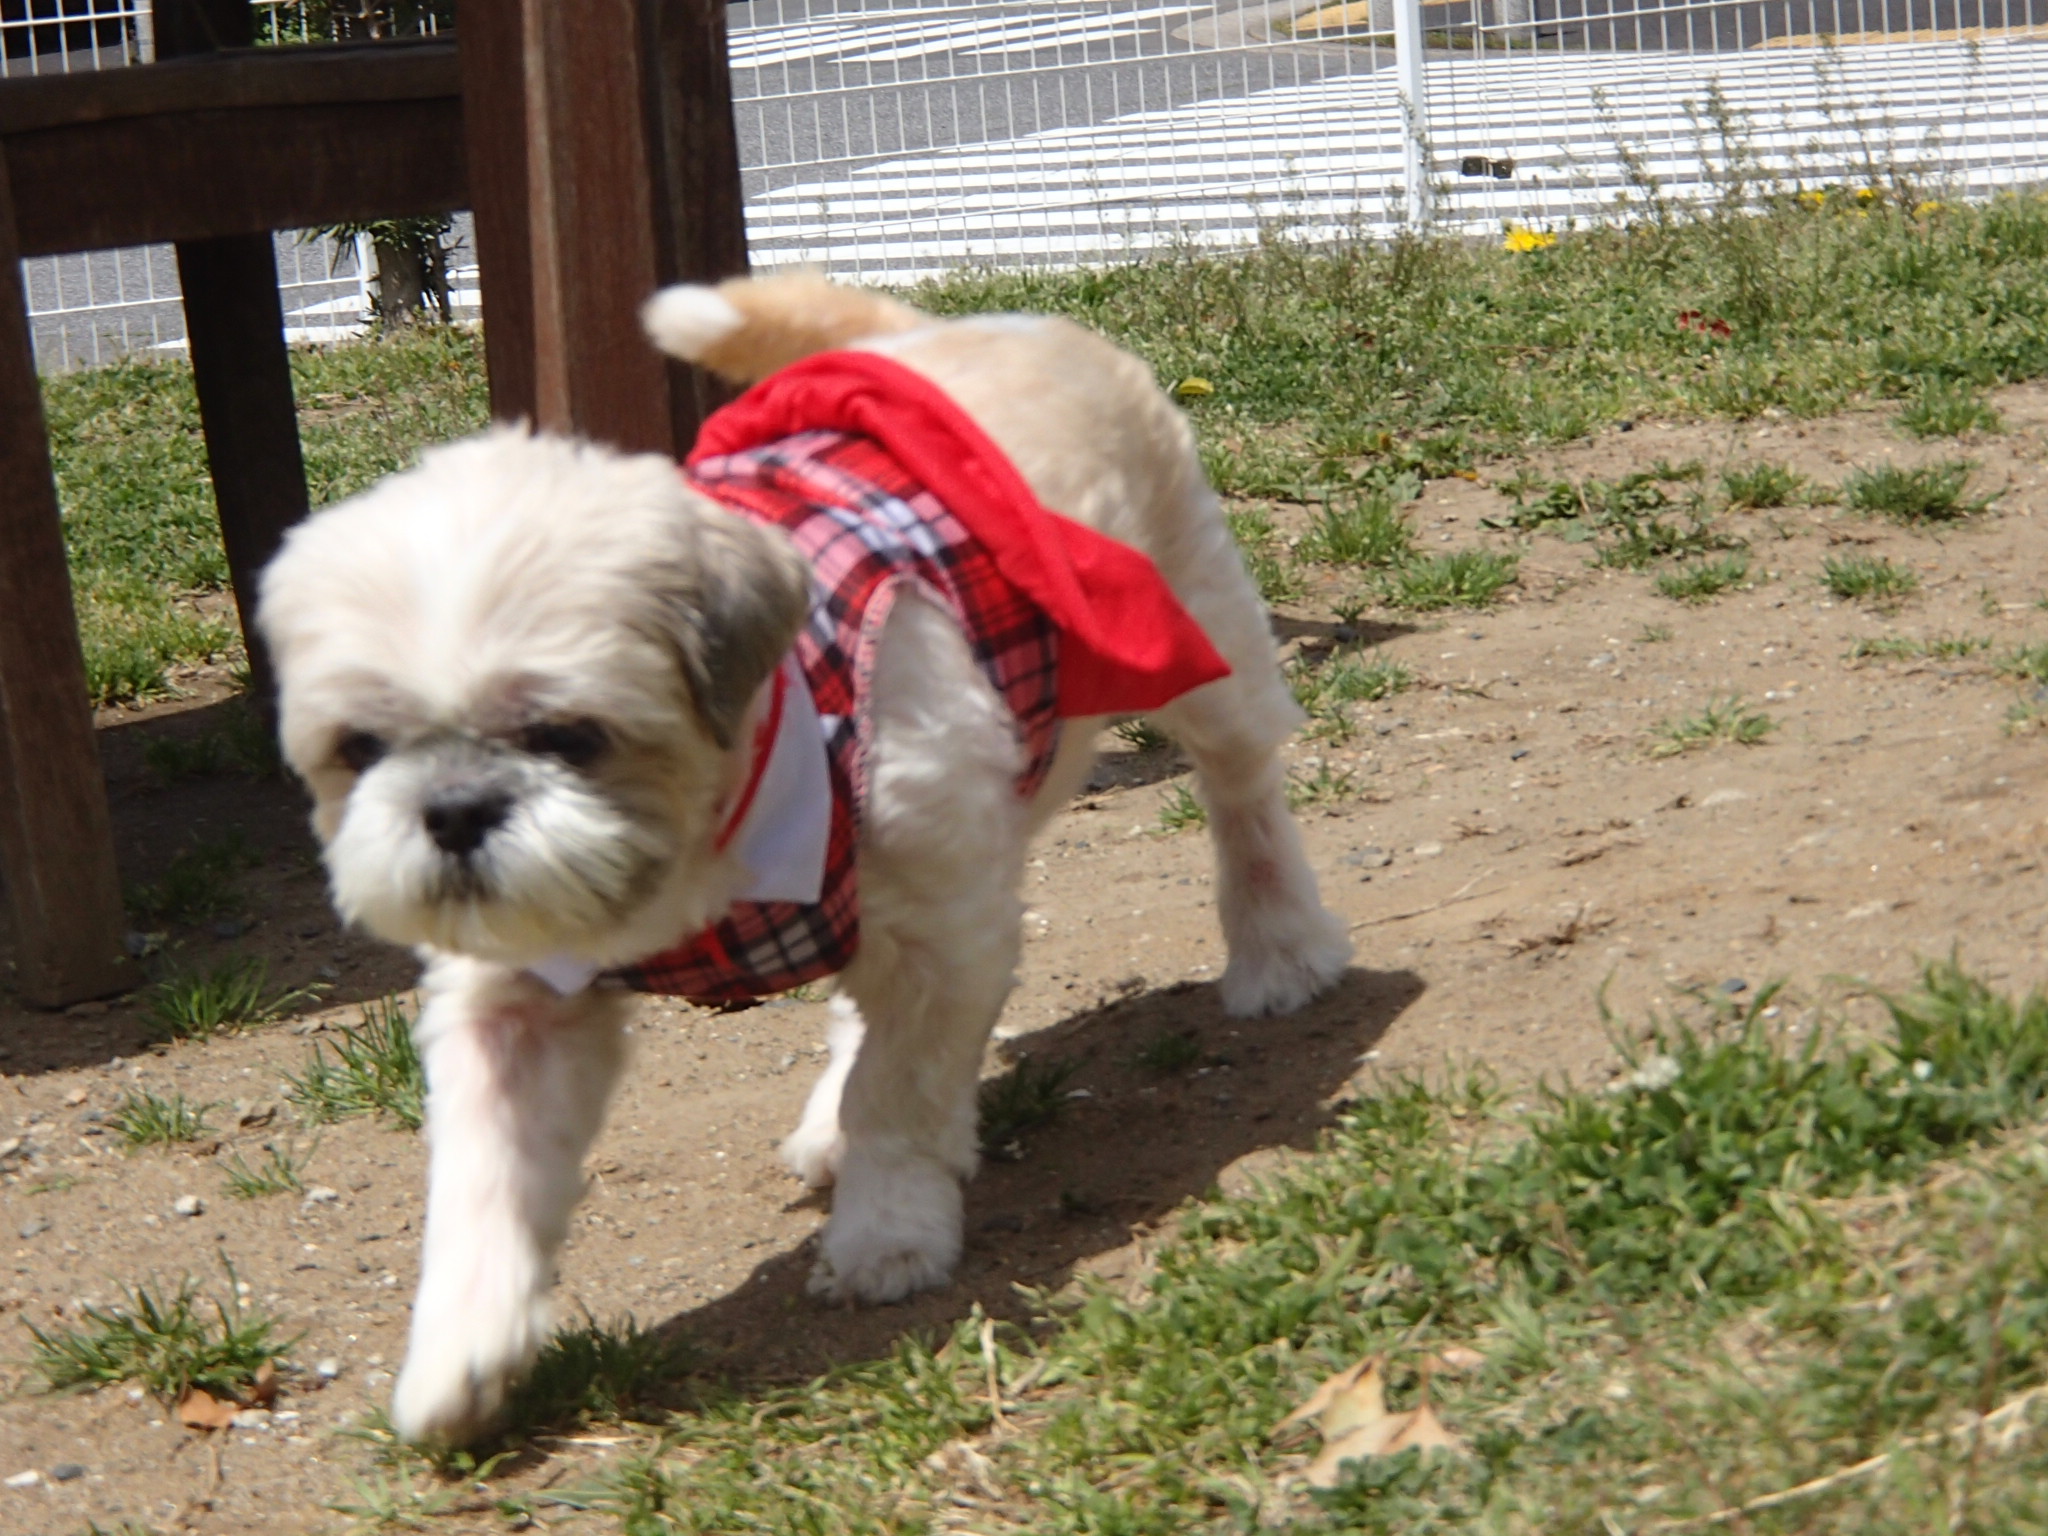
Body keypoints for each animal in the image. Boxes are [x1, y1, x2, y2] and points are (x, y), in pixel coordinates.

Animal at [256, 274, 1351, 1441]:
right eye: (358, 750)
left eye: (570, 735)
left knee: (1241, 793)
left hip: (1200, 650)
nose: (455, 810)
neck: (701, 851)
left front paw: (888, 1231)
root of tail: (939, 335)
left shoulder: (944, 925)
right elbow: (486, 1181)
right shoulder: (518, 1000)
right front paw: (461, 1348)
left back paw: (1280, 944)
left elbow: (899, 1094)